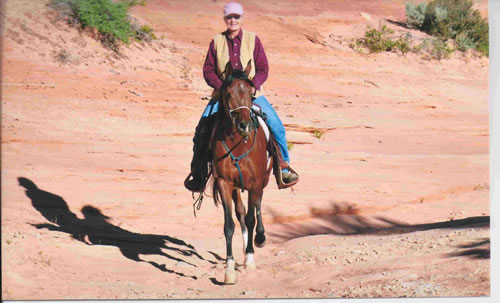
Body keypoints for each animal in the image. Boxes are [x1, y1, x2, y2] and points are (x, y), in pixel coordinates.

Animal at [210, 61, 274, 284]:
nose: (244, 125)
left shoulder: (255, 182)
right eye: (228, 93)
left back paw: (259, 239)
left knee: (257, 208)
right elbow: (230, 224)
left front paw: (251, 259)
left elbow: (251, 218)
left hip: (262, 181)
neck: (238, 143)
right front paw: (229, 270)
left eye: (250, 91)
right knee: (241, 211)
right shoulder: (224, 183)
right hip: (237, 187)